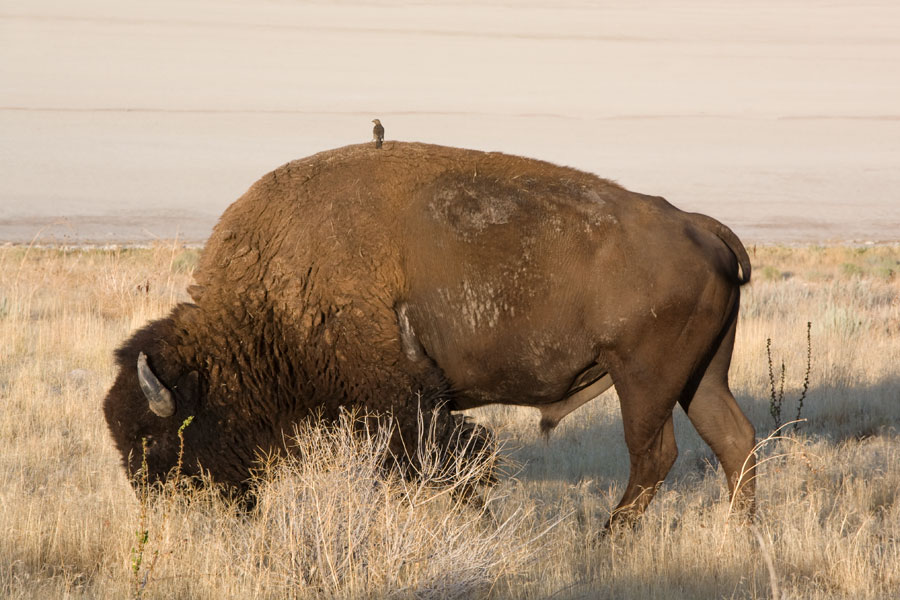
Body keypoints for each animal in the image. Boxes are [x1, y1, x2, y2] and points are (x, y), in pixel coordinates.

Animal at [103, 142, 756, 526]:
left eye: (153, 440)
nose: (166, 513)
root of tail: (698, 224)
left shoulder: (404, 405)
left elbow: (443, 464)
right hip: (701, 376)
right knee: (733, 439)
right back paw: (740, 534)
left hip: (643, 378)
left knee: (654, 455)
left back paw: (608, 541)